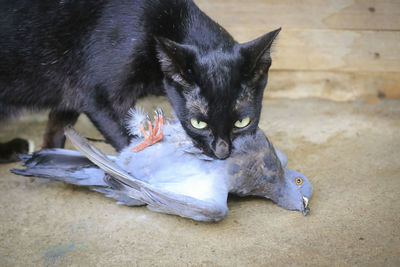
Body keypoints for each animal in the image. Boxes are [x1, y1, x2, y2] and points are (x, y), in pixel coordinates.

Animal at [0, 0, 280, 161]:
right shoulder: (97, 96)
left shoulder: (72, 91)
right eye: (198, 123)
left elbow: (58, 122)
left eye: (242, 122)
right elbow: (128, 139)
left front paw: (48, 154)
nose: (222, 153)